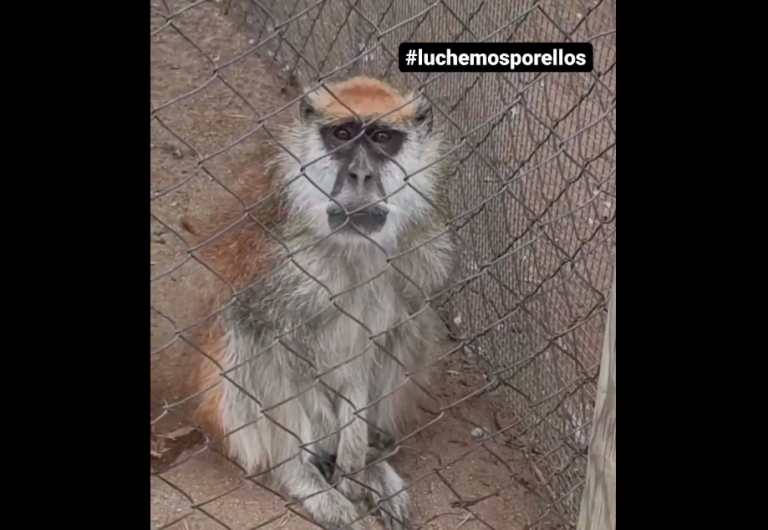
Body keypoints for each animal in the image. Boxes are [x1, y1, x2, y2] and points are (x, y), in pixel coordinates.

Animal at [187, 75, 457, 530]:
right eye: (342, 135)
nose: (361, 174)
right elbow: (274, 339)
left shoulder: (416, 256)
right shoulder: (286, 269)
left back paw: (370, 460)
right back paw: (303, 473)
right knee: (249, 331)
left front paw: (357, 461)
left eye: (382, 138)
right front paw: (318, 473)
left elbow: (367, 354)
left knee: (410, 323)